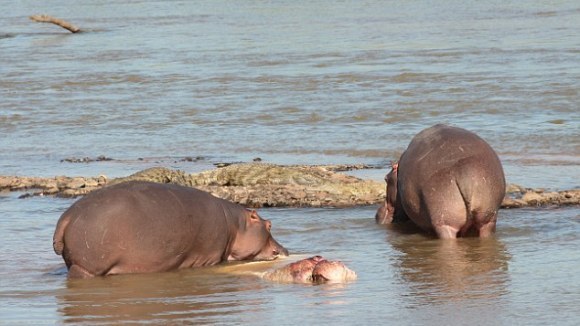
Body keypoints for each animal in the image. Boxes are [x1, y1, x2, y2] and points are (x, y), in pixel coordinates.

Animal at [53, 181, 288, 278]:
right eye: (269, 225)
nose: (285, 250)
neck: (235, 224)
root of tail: (67, 217)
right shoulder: (211, 254)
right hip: (86, 268)